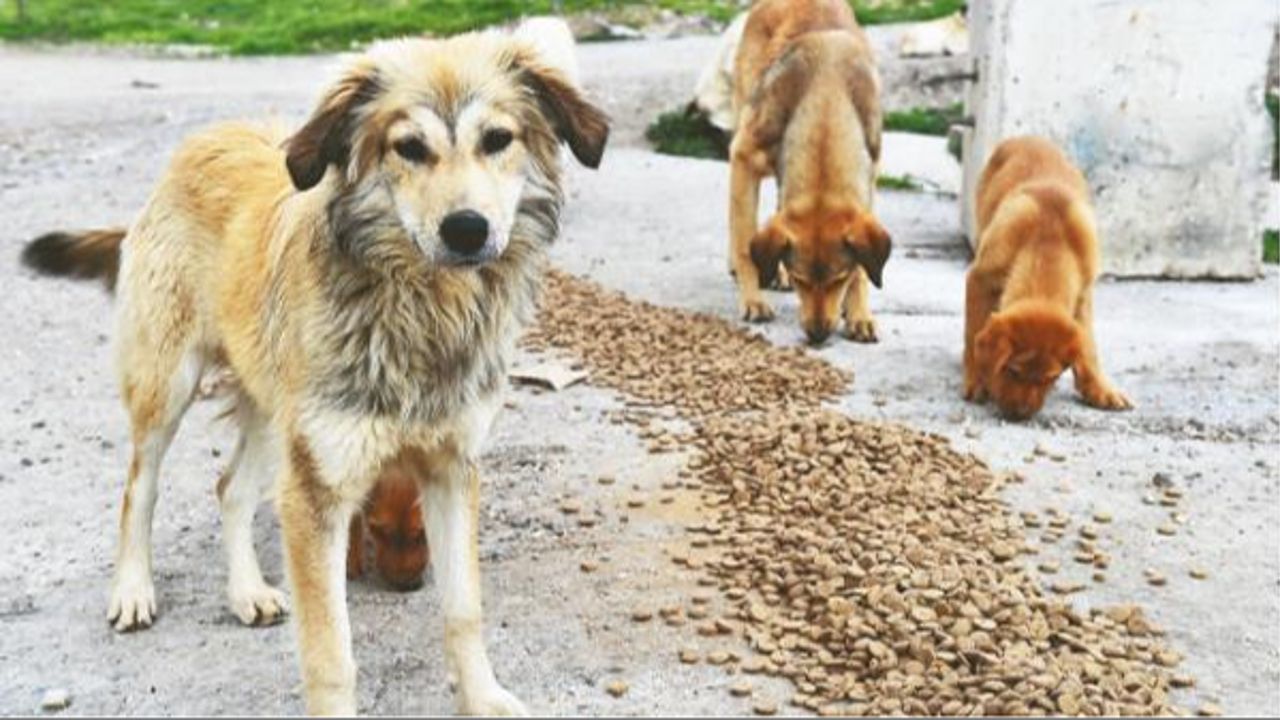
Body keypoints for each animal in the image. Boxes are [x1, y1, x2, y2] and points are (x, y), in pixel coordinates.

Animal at [962, 135, 1136, 417]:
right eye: (1012, 369)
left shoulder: (1084, 295)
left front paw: (1099, 388)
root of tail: (1026, 137)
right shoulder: (980, 279)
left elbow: (1089, 348)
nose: (1020, 416)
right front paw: (976, 377)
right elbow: (973, 330)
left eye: (1050, 378)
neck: (1048, 244)